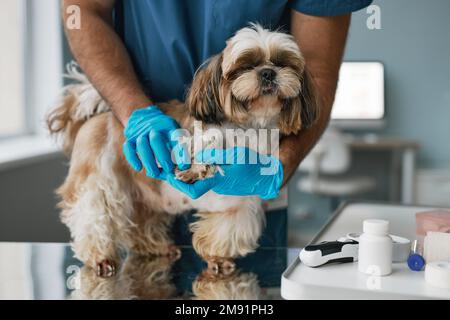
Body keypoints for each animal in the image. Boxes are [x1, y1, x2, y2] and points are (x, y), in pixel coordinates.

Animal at [47, 23, 318, 276]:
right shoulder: (203, 132)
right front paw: (198, 167)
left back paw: (156, 247)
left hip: (143, 196)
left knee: (140, 225)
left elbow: (228, 229)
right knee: (93, 217)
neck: (250, 128)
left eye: (283, 63)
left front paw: (219, 258)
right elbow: (207, 142)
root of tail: (98, 114)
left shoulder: (243, 198)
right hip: (99, 181)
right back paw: (100, 256)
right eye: (245, 65)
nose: (268, 72)